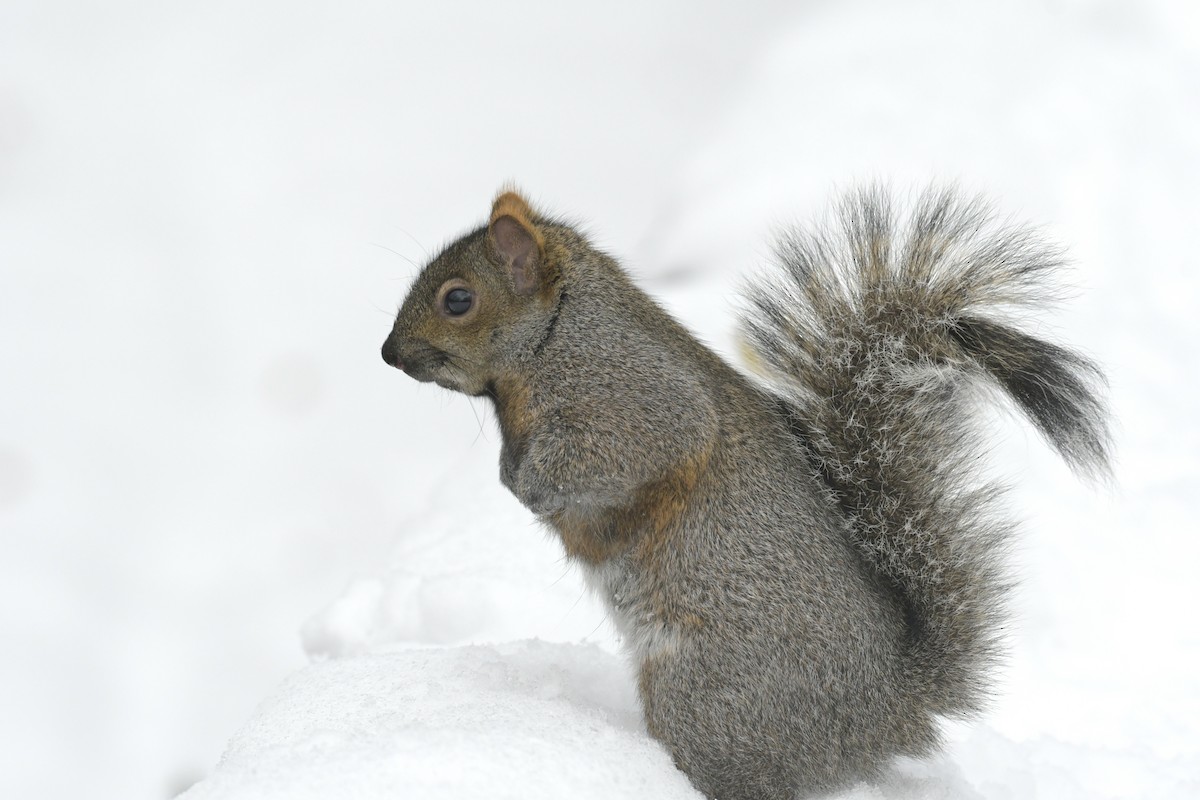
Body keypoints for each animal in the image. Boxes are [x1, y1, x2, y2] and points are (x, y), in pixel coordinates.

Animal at [380, 186, 1111, 799]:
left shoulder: (633, 402)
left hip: (709, 695)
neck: (552, 338)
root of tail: (890, 710)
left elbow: (632, 452)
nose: (389, 354)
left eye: (457, 299)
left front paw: (528, 483)